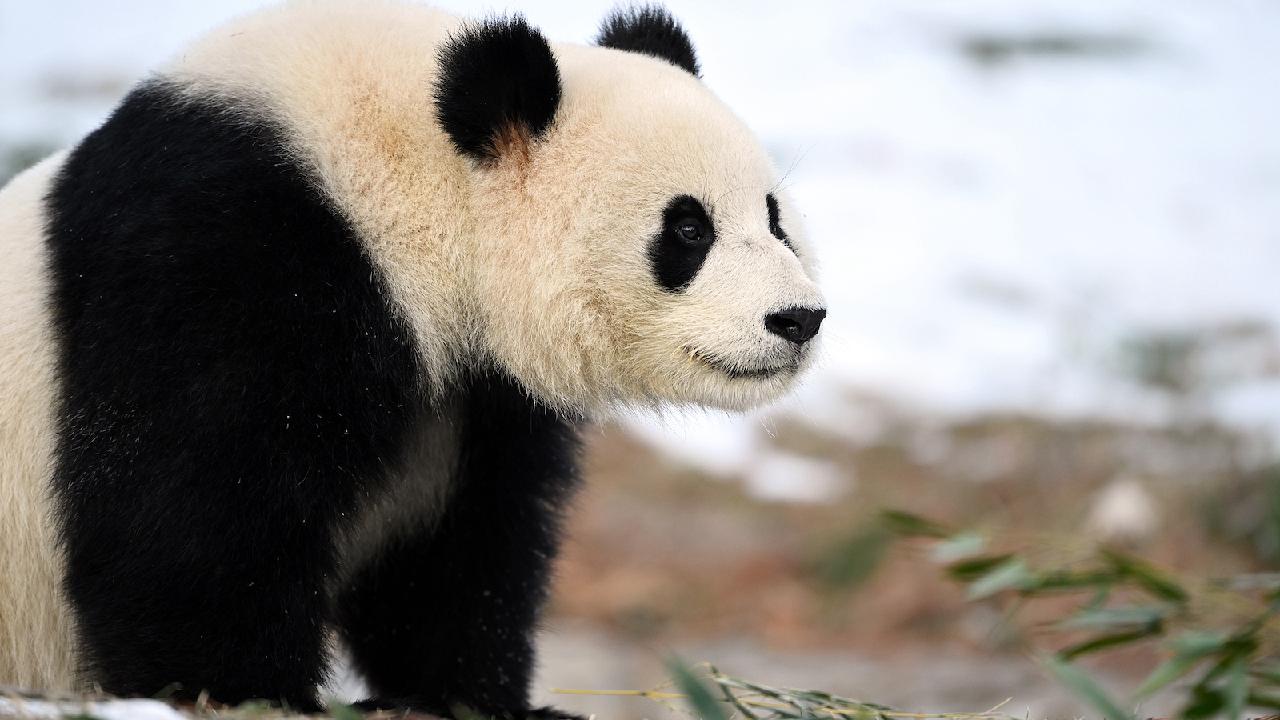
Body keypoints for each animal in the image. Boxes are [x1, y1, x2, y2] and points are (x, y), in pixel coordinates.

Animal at [0, 1, 824, 712]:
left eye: (773, 218)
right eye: (688, 229)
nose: (799, 318)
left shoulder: (474, 401)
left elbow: (455, 557)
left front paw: (469, 695)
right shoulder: (223, 257)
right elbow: (187, 507)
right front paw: (244, 690)